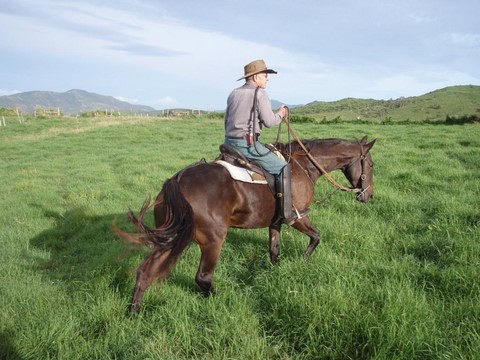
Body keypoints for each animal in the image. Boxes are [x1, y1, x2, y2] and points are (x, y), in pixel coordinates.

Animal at [115, 135, 376, 312]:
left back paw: (134, 312)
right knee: (203, 277)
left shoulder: (276, 223)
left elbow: (274, 251)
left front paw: (276, 272)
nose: (369, 196)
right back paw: (220, 300)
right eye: (372, 165)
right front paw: (304, 260)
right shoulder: (298, 217)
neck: (303, 166)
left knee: (145, 272)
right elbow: (316, 236)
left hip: (171, 239)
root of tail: (177, 181)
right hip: (213, 240)